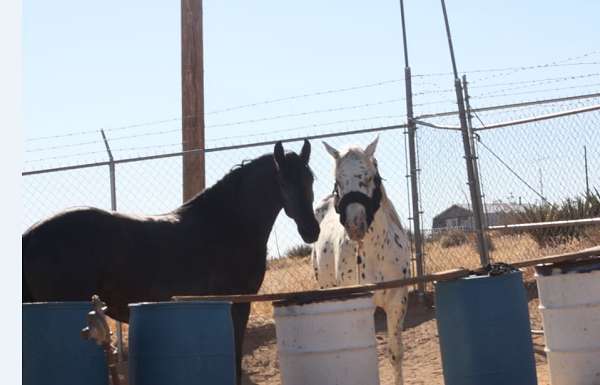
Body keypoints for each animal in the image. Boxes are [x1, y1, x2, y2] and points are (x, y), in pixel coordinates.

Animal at [21, 140, 322, 382]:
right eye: (283, 182)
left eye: (310, 180)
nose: (311, 230)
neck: (225, 222)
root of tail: (30, 235)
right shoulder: (237, 304)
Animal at [310, 136, 412, 382]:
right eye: (338, 181)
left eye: (369, 177)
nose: (355, 226)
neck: (377, 251)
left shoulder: (397, 301)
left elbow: (395, 353)